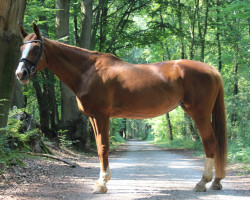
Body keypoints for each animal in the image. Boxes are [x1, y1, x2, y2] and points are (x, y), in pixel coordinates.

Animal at [15, 23, 227, 194]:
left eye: (36, 47)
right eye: (21, 47)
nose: (20, 74)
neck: (88, 72)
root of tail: (212, 70)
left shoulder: (101, 116)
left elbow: (103, 147)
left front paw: (101, 184)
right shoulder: (93, 117)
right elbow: (100, 147)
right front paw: (102, 181)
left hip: (199, 113)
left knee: (210, 143)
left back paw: (203, 183)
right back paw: (216, 182)